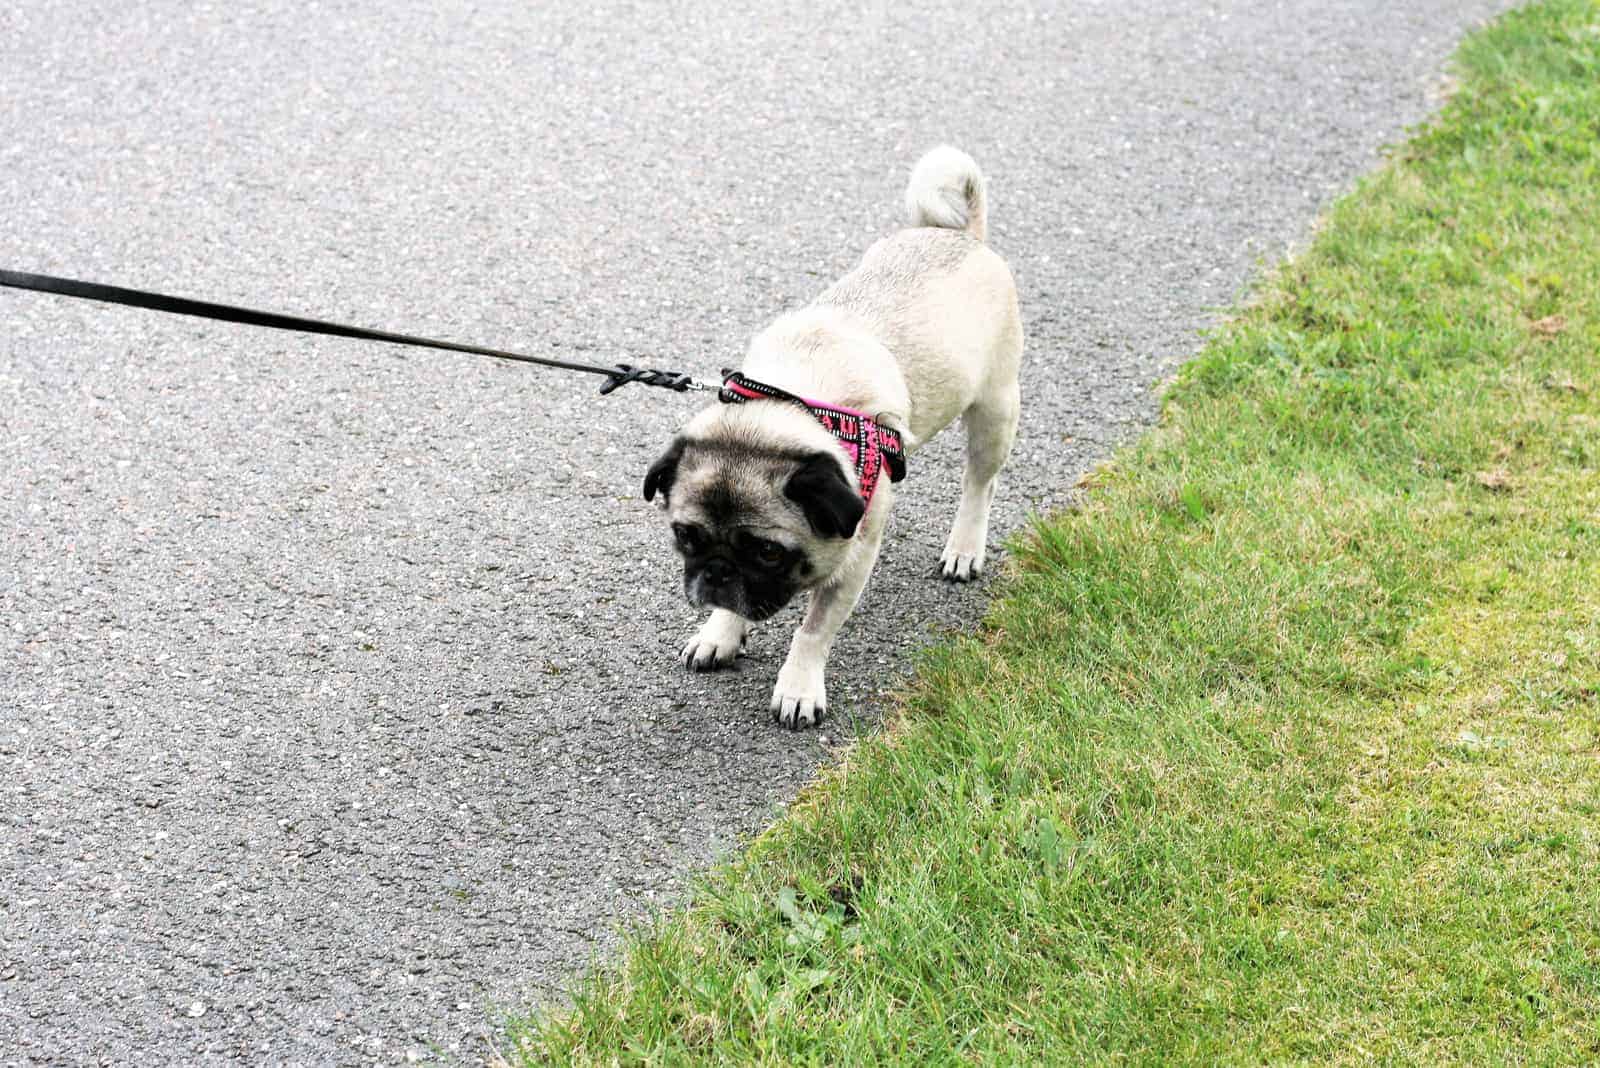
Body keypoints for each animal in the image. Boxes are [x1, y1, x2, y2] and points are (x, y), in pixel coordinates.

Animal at [643, 146, 1017, 729]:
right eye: (687, 536)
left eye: (768, 552)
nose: (718, 574)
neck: (790, 405)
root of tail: (961, 236)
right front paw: (720, 632)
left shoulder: (851, 559)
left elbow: (813, 630)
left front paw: (797, 686)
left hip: (995, 408)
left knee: (979, 484)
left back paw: (964, 548)